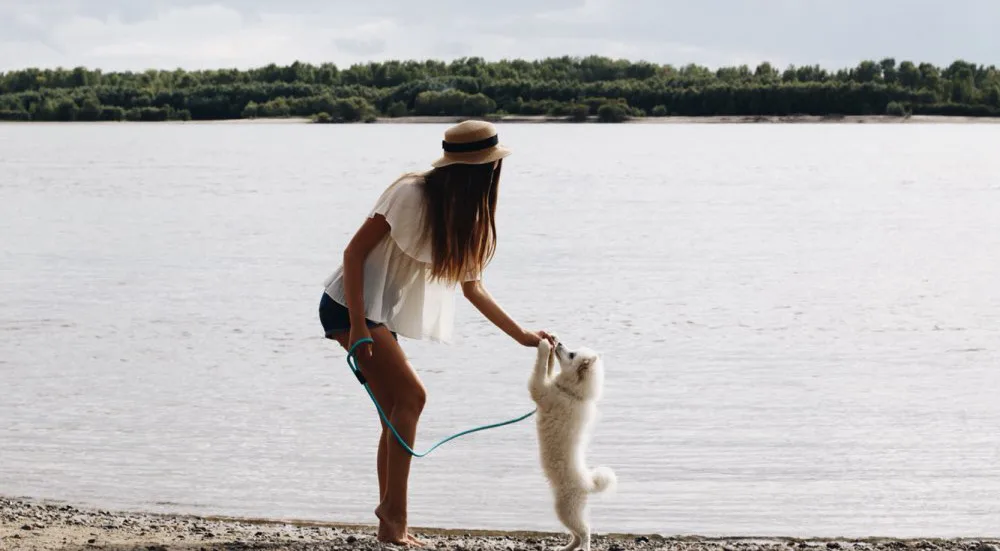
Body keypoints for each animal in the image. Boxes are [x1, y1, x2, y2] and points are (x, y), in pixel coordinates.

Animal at [528, 336, 612, 551]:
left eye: (572, 354)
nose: (557, 341)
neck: (573, 393)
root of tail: (589, 484)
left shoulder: (540, 390)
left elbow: (539, 370)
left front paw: (543, 347)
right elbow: (547, 370)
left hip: (566, 509)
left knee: (585, 531)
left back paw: (585, 547)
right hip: (565, 510)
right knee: (576, 535)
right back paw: (564, 548)